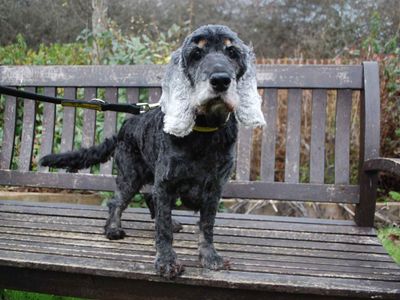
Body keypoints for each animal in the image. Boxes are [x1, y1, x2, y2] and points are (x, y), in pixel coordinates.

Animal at [39, 24, 266, 278]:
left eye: (232, 52)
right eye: (196, 54)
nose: (220, 80)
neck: (203, 131)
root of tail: (125, 127)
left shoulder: (214, 187)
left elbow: (206, 225)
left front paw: (210, 256)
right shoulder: (166, 182)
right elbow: (163, 228)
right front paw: (166, 261)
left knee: (150, 197)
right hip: (131, 175)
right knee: (118, 201)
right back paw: (113, 229)